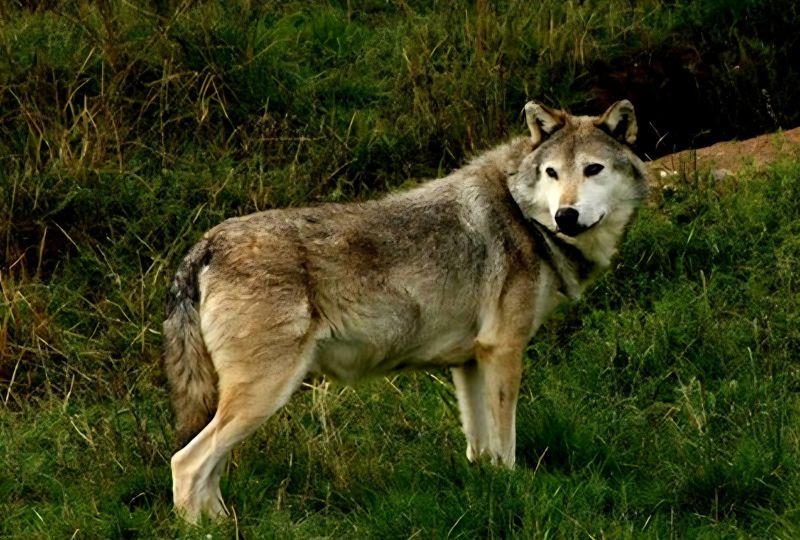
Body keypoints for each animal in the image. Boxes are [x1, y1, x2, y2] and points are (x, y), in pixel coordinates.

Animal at [163, 99, 649, 522]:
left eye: (592, 169)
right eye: (552, 173)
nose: (566, 215)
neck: (522, 215)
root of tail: (205, 244)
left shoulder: (470, 361)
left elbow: (480, 449)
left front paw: (490, 491)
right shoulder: (504, 350)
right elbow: (506, 445)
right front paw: (516, 492)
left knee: (208, 470)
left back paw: (222, 523)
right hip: (263, 395)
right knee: (186, 463)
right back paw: (201, 528)